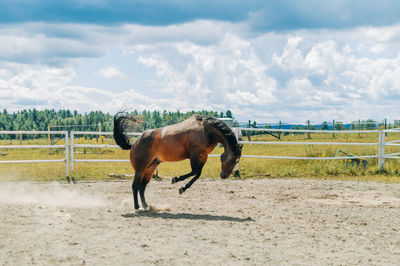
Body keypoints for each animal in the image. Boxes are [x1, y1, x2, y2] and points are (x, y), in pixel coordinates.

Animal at [114, 112, 242, 210]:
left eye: (237, 161)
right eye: (232, 159)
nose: (224, 176)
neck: (206, 130)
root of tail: (134, 144)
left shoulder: (203, 157)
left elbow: (197, 174)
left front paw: (182, 188)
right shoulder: (194, 155)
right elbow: (194, 172)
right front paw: (175, 180)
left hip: (150, 167)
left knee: (142, 186)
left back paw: (146, 206)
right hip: (141, 169)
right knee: (135, 185)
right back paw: (137, 207)